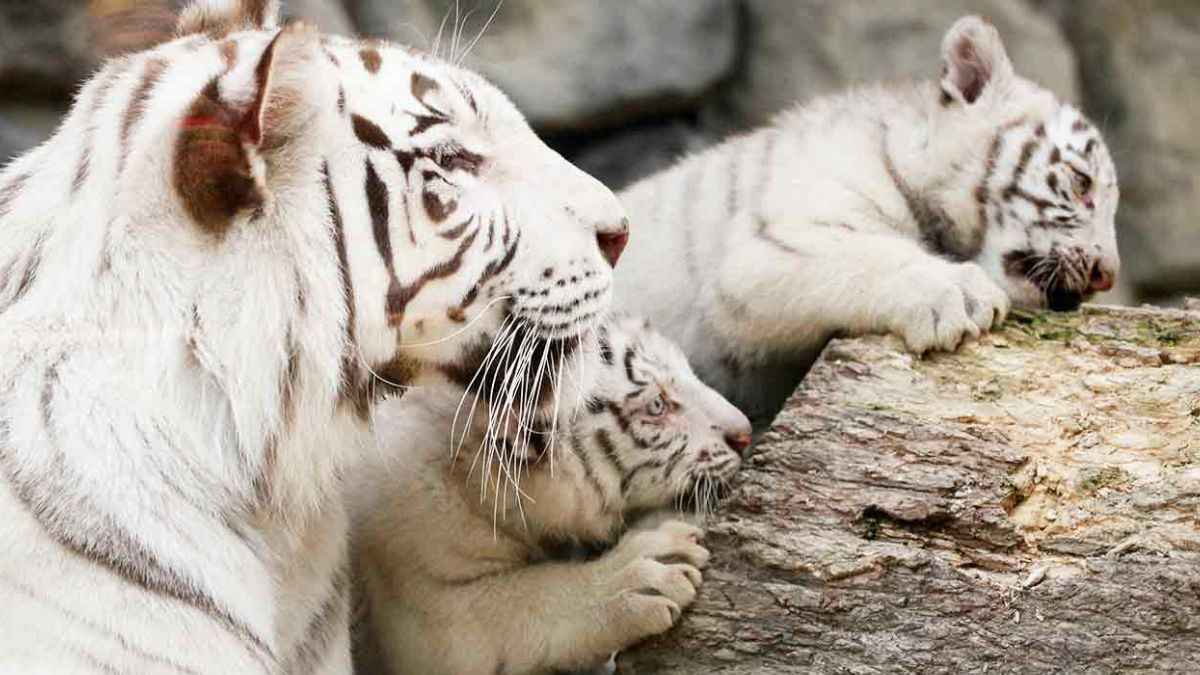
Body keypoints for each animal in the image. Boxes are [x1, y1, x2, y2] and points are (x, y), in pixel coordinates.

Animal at [349, 313, 753, 675]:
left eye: (688, 371)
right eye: (657, 405)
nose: (746, 432)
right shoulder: (423, 608)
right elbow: (522, 599)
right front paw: (645, 573)